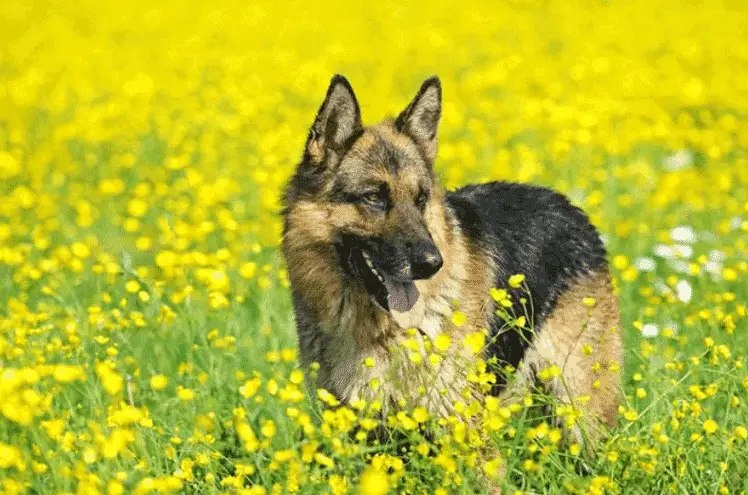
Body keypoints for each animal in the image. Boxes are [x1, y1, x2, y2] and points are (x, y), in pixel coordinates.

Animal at [280, 76, 620, 454]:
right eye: (373, 197)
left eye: (421, 198)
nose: (431, 264)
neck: (377, 330)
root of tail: (569, 206)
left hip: (581, 413)